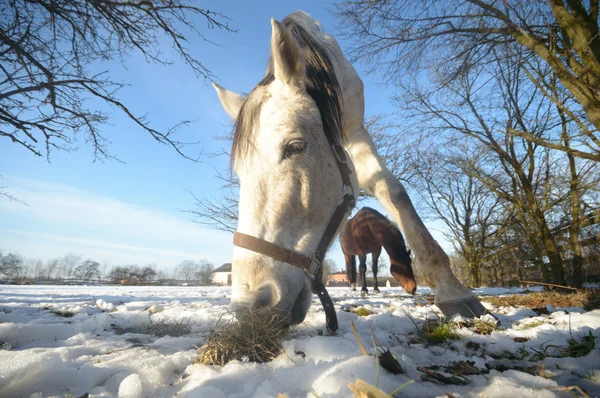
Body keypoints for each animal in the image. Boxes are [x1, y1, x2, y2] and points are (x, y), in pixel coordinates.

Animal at [213, 10, 486, 324]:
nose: (251, 306)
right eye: (239, 173)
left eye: (295, 147)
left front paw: (455, 292)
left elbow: (393, 191)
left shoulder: (356, 131)